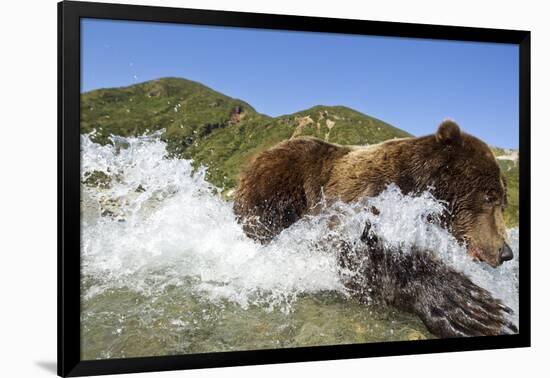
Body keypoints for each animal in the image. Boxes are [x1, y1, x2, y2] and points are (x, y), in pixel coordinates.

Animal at [235, 120, 520, 336]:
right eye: (489, 196)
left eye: (504, 202)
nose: (505, 252)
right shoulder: (363, 196)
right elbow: (349, 248)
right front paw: (471, 308)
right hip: (281, 179)